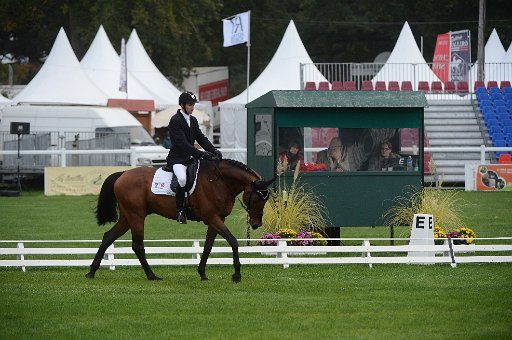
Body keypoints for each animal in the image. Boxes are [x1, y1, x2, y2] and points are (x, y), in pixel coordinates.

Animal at [86, 159, 274, 282]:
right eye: (258, 197)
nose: (256, 224)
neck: (219, 181)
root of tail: (123, 174)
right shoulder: (212, 217)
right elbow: (233, 241)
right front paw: (236, 275)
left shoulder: (216, 219)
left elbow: (208, 246)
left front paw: (202, 273)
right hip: (136, 216)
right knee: (137, 245)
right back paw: (152, 276)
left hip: (128, 217)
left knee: (108, 237)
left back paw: (92, 271)